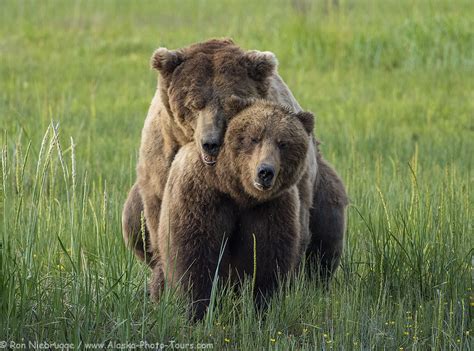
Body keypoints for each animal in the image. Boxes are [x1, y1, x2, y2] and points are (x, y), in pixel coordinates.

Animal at [122, 39, 348, 280]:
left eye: (227, 103)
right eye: (193, 104)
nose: (210, 142)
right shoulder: (163, 158)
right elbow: (163, 219)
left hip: (323, 186)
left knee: (327, 230)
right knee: (132, 221)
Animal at [153, 99, 314, 322]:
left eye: (283, 143)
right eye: (254, 138)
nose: (265, 172)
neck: (237, 191)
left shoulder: (269, 209)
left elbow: (266, 260)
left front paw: (261, 308)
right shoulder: (201, 196)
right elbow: (194, 255)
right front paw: (199, 310)